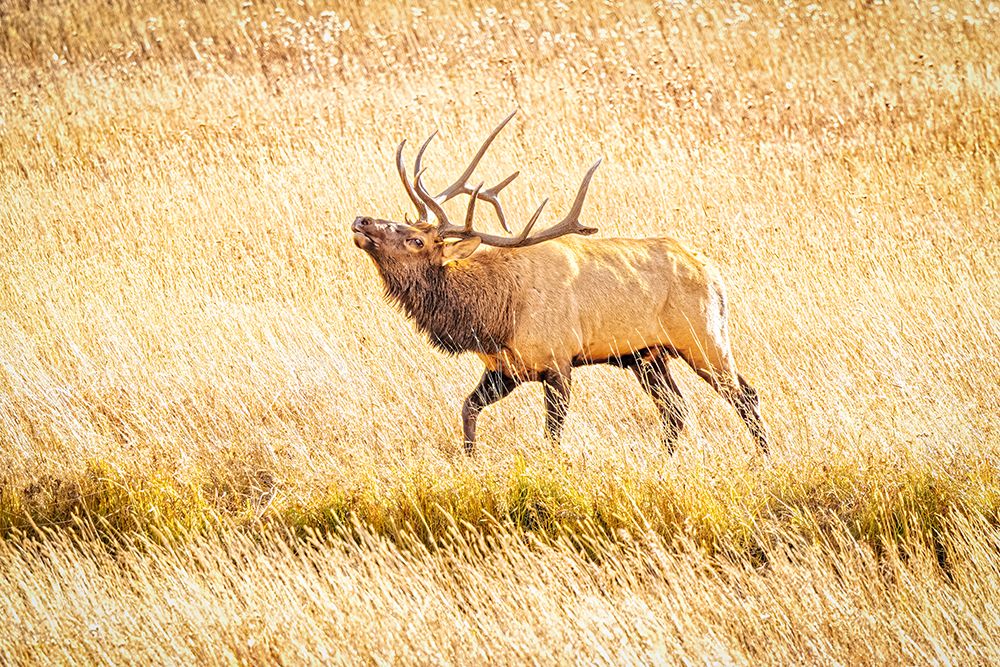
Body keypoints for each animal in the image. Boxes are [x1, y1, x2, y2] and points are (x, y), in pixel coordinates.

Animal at [351, 111, 769, 455]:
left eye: (416, 240)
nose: (361, 220)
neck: (493, 319)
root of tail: (713, 273)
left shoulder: (558, 361)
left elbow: (552, 435)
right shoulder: (505, 369)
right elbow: (468, 408)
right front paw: (470, 460)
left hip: (703, 337)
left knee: (745, 394)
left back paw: (763, 460)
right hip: (647, 356)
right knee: (676, 410)